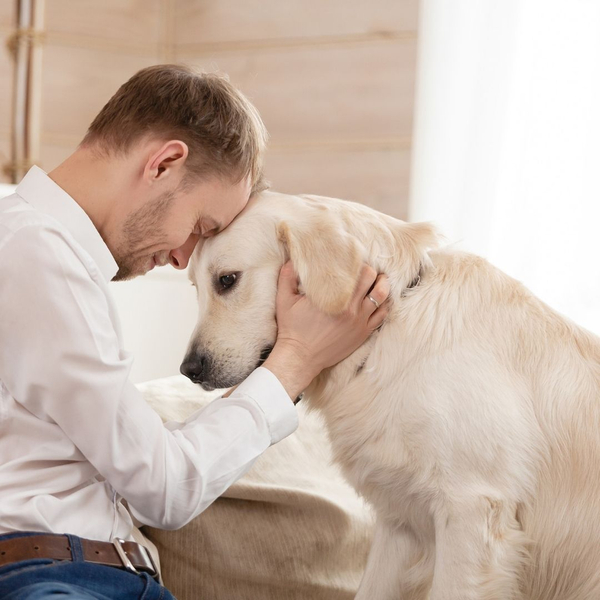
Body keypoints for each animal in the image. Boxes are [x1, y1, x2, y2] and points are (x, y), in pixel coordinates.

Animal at [180, 192, 600, 600]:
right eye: (196, 288)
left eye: (227, 280)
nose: (189, 369)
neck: (390, 325)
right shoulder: (400, 519)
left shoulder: (471, 510)